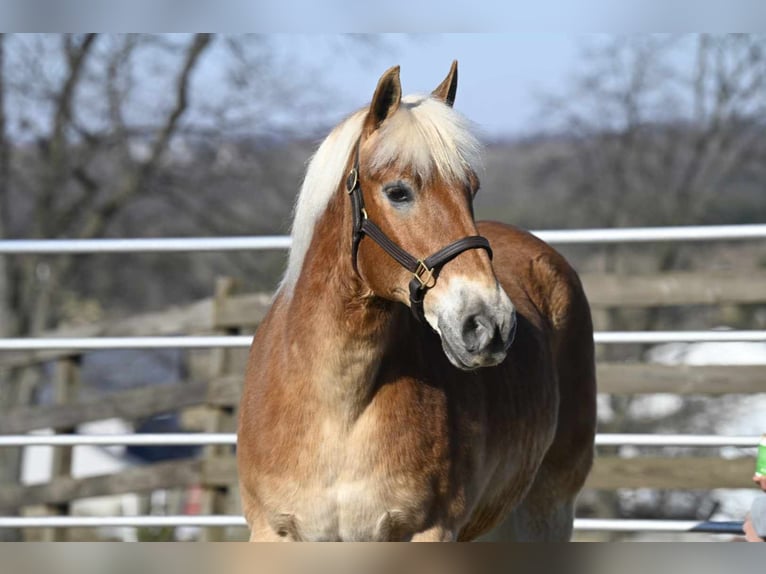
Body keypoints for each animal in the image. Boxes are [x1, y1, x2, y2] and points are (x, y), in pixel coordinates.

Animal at [237, 63, 596, 544]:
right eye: (398, 192)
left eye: (471, 188)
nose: (490, 324)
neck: (338, 406)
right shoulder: (274, 533)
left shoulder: (430, 531)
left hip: (547, 511)